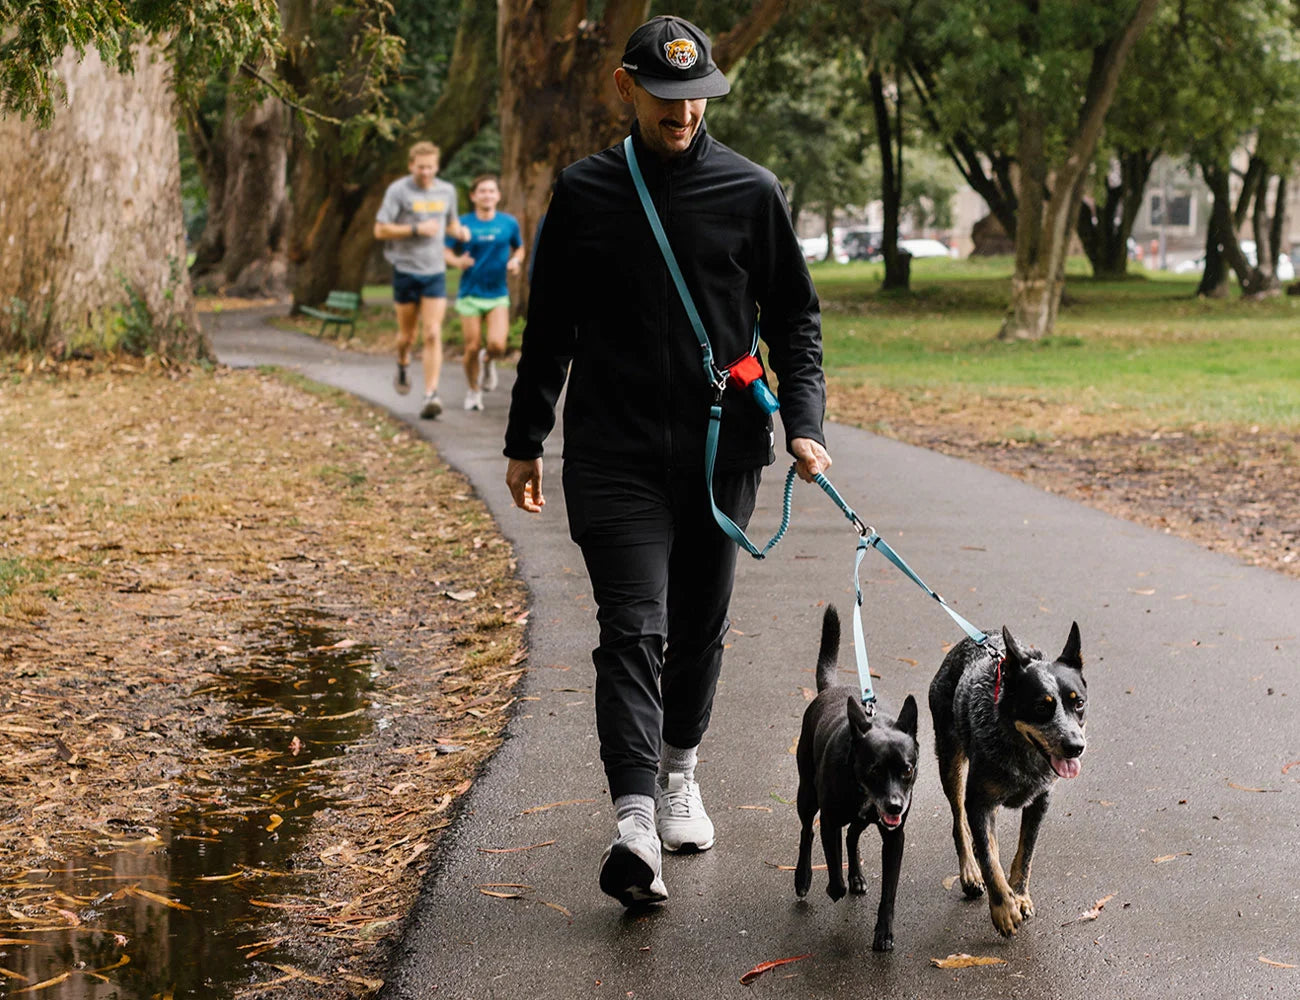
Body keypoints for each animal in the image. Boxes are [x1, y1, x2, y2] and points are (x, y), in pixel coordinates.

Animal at [795, 603, 920, 946]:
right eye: (874, 769)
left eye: (907, 769)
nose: (894, 806)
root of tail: (831, 688)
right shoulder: (829, 822)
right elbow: (833, 864)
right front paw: (835, 886)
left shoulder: (895, 837)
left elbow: (889, 892)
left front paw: (884, 933)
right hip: (806, 795)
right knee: (807, 832)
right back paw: (803, 878)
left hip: (862, 818)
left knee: (852, 835)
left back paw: (857, 876)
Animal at [930, 624, 1081, 936]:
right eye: (1041, 707)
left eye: (1080, 703)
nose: (1075, 746)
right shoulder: (978, 800)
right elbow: (990, 861)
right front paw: (1003, 907)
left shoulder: (1040, 800)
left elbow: (1026, 852)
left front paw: (1019, 896)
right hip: (950, 760)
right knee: (959, 820)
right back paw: (970, 870)